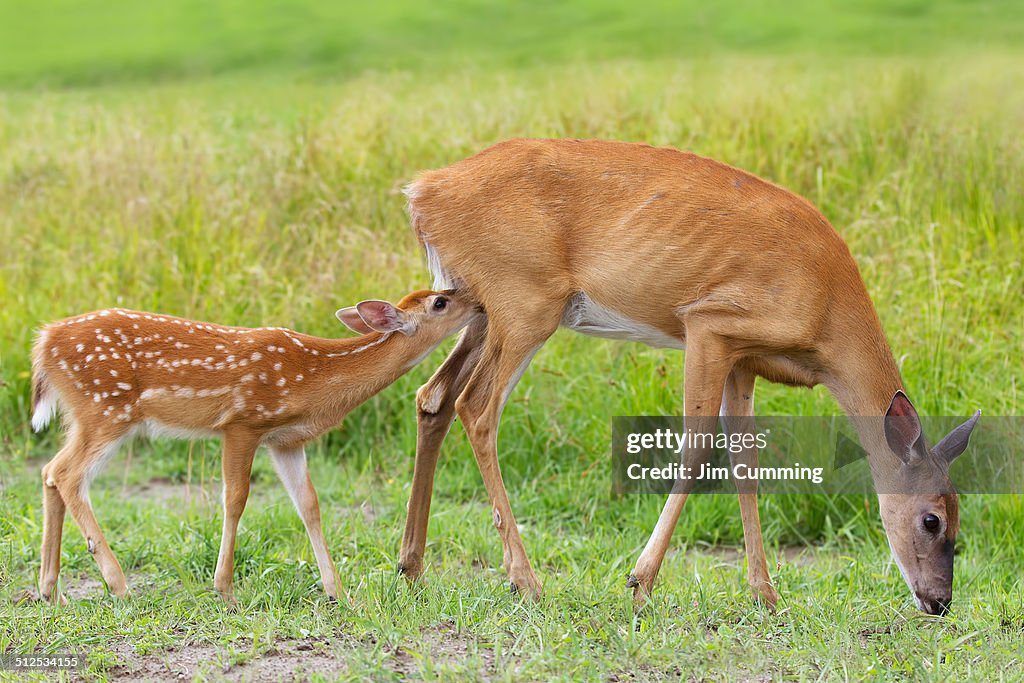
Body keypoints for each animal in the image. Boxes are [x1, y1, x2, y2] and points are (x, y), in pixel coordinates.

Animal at [32, 288, 477, 602]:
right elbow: (235, 498)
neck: (313, 377)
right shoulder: (242, 422)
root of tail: (44, 342)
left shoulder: (285, 441)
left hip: (86, 415)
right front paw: (224, 589)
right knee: (66, 474)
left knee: (50, 471)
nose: (476, 300)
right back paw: (118, 584)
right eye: (439, 301)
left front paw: (340, 593)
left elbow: (309, 506)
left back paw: (50, 590)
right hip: (106, 408)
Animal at [395, 137, 978, 614]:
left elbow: (746, 462)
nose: (940, 601)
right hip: (526, 303)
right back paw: (526, 581)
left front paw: (766, 594)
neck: (827, 308)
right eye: (932, 519)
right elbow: (696, 450)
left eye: (958, 514)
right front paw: (640, 582)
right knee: (477, 406)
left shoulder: (744, 361)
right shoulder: (710, 324)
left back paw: (412, 567)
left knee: (433, 397)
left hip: (477, 307)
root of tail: (423, 190)